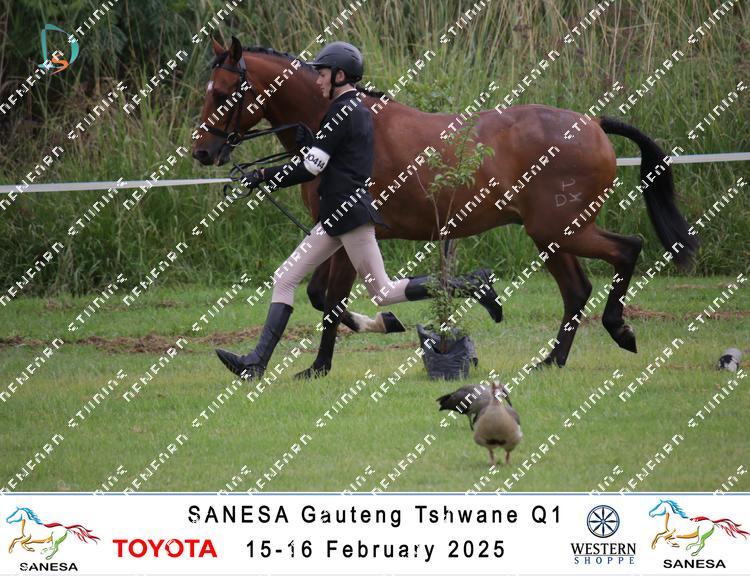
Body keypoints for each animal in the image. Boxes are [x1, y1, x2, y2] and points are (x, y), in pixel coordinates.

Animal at [192, 37, 698, 379]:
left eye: (224, 93)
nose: (202, 152)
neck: (328, 117)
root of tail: (591, 123)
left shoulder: (345, 230)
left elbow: (329, 301)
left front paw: (323, 363)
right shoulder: (334, 233)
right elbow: (321, 297)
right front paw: (371, 329)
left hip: (560, 229)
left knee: (626, 250)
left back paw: (618, 331)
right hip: (552, 235)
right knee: (577, 290)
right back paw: (550, 361)